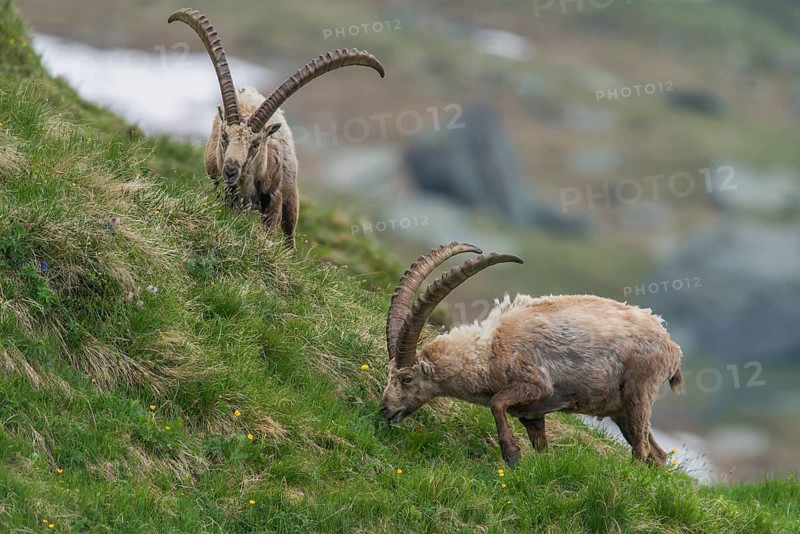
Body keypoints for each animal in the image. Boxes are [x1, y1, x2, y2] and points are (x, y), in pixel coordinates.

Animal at [169, 9, 385, 249]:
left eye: (256, 143)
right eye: (224, 136)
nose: (231, 169)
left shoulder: (274, 200)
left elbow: (271, 231)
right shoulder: (223, 193)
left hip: (292, 197)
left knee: (290, 235)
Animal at [380, 242, 684, 466]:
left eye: (406, 379)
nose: (384, 410)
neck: (489, 351)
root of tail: (671, 346)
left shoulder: (535, 384)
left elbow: (497, 403)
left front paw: (512, 454)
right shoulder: (532, 414)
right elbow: (540, 445)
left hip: (638, 393)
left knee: (641, 450)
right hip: (620, 409)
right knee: (657, 454)